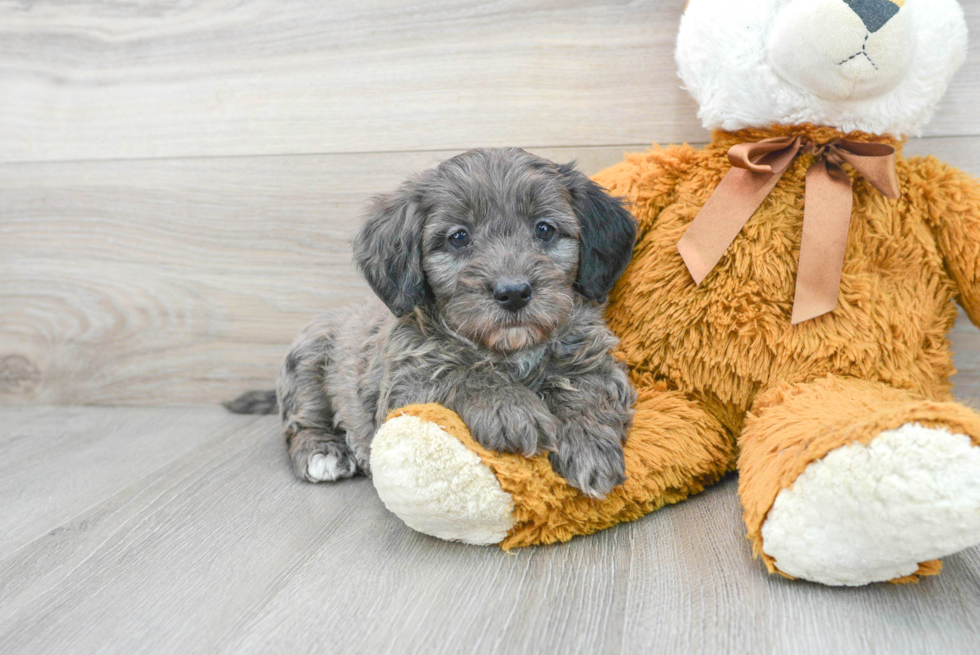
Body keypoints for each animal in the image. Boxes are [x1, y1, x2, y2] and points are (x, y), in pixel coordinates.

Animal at [233, 149, 640, 498]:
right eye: (459, 237)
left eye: (545, 230)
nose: (513, 292)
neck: (509, 350)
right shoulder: (405, 384)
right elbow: (459, 373)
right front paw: (510, 408)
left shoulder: (593, 356)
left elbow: (588, 389)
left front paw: (589, 445)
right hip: (308, 362)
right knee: (299, 424)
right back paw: (323, 452)